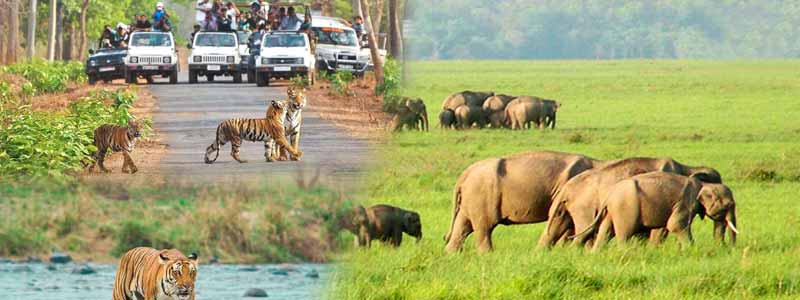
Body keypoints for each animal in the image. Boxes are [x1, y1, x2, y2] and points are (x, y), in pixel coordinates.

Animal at [444, 150, 608, 253]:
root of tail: (465, 174)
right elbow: (564, 220)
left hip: (470, 199)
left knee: (463, 226)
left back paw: (451, 255)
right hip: (481, 196)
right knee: (484, 228)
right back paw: (487, 254)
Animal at [540, 157, 720, 248]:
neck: (688, 168)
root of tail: (566, 188)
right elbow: (660, 230)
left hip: (564, 209)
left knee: (552, 231)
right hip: (584, 207)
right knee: (584, 232)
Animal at [576, 171, 736, 251]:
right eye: (728, 205)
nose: (728, 248)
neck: (703, 184)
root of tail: (608, 196)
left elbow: (665, 227)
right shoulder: (685, 202)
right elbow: (675, 225)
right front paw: (690, 249)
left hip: (612, 211)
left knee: (606, 232)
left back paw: (595, 254)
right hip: (625, 209)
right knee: (624, 234)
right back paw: (626, 253)